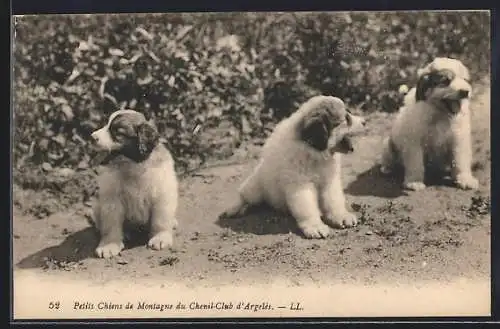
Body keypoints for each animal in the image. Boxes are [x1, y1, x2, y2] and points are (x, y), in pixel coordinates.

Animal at [89, 109, 178, 258]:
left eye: (117, 132)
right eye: (106, 124)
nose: (91, 137)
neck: (133, 165)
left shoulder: (162, 192)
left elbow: (160, 219)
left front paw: (160, 237)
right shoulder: (111, 198)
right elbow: (110, 223)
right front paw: (109, 245)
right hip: (97, 205)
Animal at [221, 95, 366, 238]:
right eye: (347, 119)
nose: (365, 121)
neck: (315, 154)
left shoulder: (329, 180)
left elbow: (334, 200)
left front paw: (341, 216)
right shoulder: (300, 185)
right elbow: (307, 207)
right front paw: (315, 226)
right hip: (255, 187)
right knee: (244, 196)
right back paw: (236, 208)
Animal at [380, 56, 478, 190]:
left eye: (464, 80)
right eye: (446, 81)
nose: (465, 92)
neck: (440, 113)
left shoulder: (459, 139)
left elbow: (460, 160)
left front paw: (465, 179)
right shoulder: (413, 142)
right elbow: (415, 162)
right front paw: (414, 182)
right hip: (388, 145)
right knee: (389, 159)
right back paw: (387, 168)